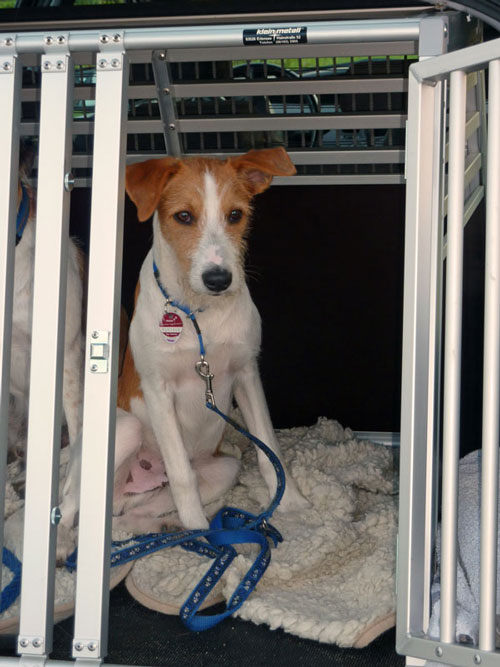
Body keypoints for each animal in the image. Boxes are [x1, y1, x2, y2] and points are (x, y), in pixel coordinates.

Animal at [113, 147, 308, 533]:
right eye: (183, 216)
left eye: (235, 215)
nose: (218, 279)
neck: (200, 314)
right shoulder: (157, 389)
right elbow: (181, 475)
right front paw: (199, 529)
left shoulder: (247, 373)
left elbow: (271, 451)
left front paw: (292, 504)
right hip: (125, 430)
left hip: (223, 469)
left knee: (133, 514)